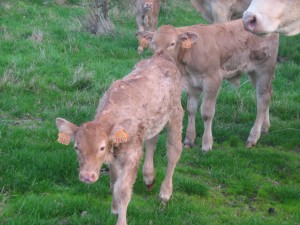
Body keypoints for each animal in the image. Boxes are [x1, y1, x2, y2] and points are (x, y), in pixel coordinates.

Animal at [55, 51, 183, 225]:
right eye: (76, 147)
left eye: (101, 147)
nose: (87, 176)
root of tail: (162, 56)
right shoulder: (115, 157)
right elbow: (113, 182)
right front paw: (114, 209)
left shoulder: (132, 155)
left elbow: (122, 190)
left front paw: (121, 220)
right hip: (155, 121)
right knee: (152, 141)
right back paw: (149, 178)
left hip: (176, 113)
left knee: (173, 151)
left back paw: (165, 193)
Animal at [137, 18, 278, 151]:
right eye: (154, 43)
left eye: (172, 43)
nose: (158, 57)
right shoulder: (191, 83)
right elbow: (191, 110)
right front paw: (189, 141)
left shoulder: (213, 80)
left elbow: (206, 113)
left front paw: (206, 144)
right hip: (254, 73)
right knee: (268, 94)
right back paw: (265, 127)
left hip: (264, 69)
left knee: (263, 100)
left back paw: (253, 138)